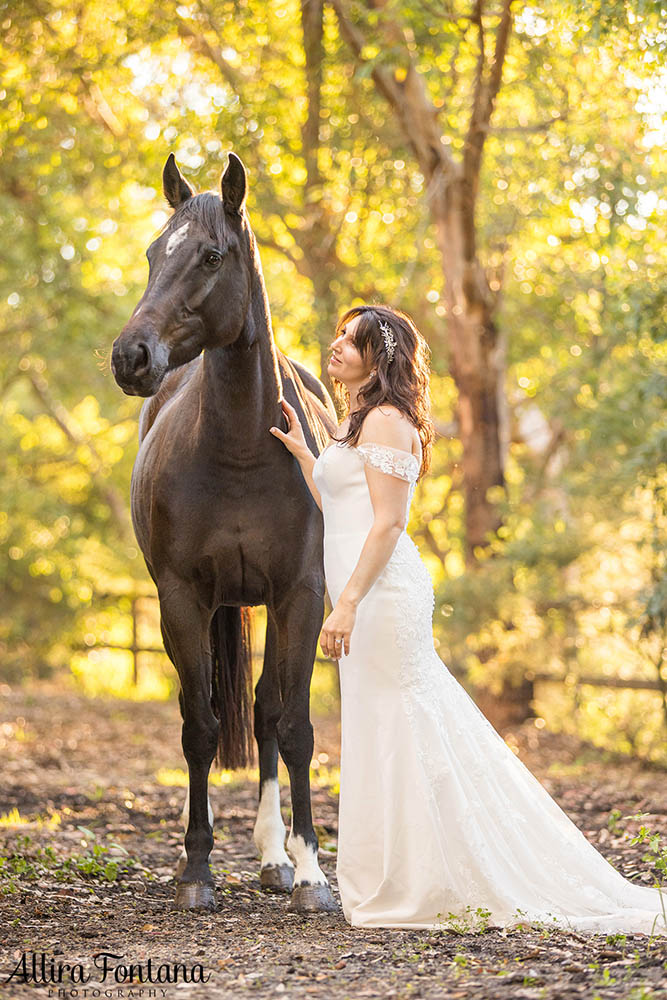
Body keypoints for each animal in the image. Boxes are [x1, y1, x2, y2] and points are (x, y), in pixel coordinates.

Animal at [112, 150, 340, 916]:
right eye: (154, 252)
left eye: (211, 255)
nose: (131, 356)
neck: (242, 444)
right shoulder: (181, 599)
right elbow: (201, 726)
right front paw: (196, 870)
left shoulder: (301, 595)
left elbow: (292, 726)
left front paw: (311, 874)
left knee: (267, 713)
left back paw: (275, 859)